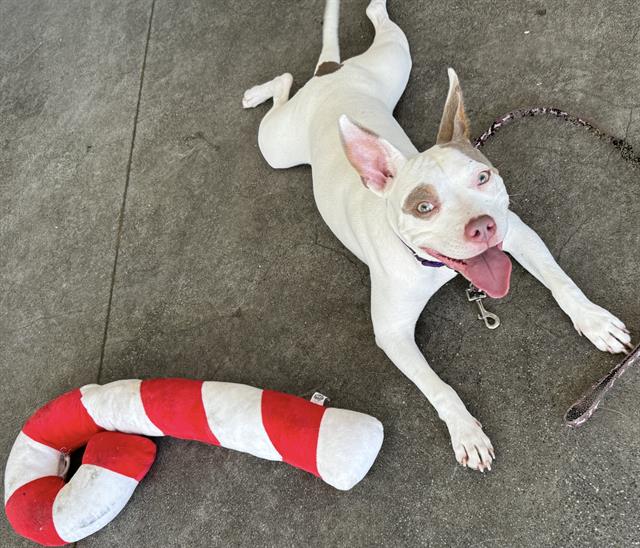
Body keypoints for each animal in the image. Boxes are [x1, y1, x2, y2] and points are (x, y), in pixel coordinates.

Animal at [242, 0, 632, 470]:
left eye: (482, 177)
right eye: (423, 207)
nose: (482, 226)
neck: (430, 264)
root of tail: (329, 75)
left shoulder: (517, 232)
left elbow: (560, 282)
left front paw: (593, 321)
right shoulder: (392, 333)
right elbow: (437, 387)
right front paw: (465, 431)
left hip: (393, 63)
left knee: (376, 30)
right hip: (277, 146)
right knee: (282, 88)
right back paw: (258, 92)